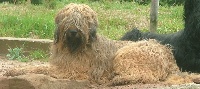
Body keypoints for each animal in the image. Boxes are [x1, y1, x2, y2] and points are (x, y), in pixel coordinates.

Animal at [50, 2, 180, 85]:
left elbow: (50, 69)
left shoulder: (76, 70)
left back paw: (119, 80)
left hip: (126, 53)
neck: (73, 47)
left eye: (82, 20)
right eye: (68, 19)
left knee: (146, 76)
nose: (73, 32)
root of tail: (168, 53)